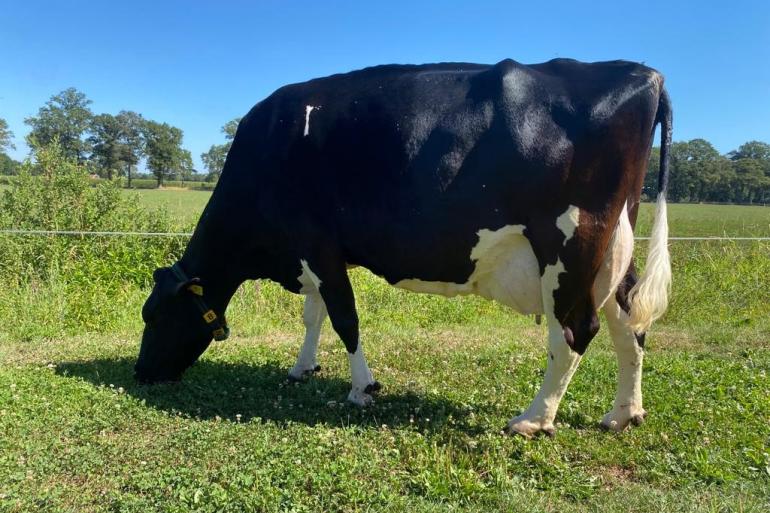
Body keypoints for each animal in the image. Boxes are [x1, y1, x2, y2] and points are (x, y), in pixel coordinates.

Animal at [135, 59, 668, 436]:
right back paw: (625, 414)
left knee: (575, 331)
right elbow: (314, 314)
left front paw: (362, 388)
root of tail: (642, 73)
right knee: (629, 323)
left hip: (570, 244)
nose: (140, 372)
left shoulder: (318, 244)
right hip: (614, 247)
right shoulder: (309, 252)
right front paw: (303, 367)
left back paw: (534, 419)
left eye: (155, 316)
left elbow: (345, 318)